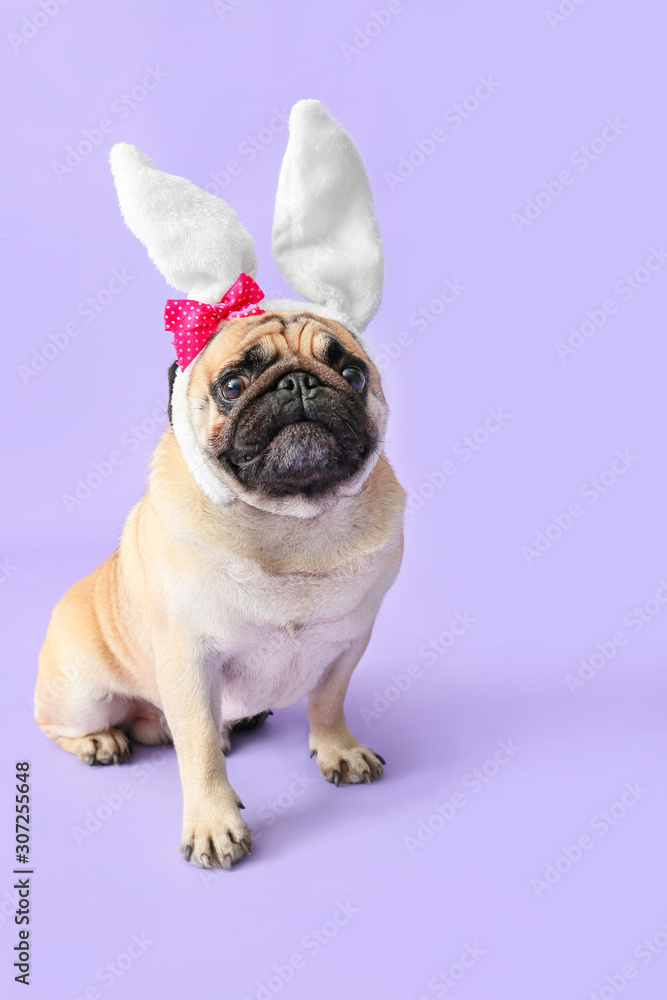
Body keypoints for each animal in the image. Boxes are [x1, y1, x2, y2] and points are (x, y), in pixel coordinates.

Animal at [36, 99, 408, 868]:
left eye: (349, 370)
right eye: (235, 383)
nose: (299, 384)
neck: (294, 522)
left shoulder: (347, 642)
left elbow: (328, 701)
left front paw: (338, 749)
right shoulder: (188, 662)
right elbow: (200, 748)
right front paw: (213, 821)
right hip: (81, 686)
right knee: (65, 722)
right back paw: (102, 740)